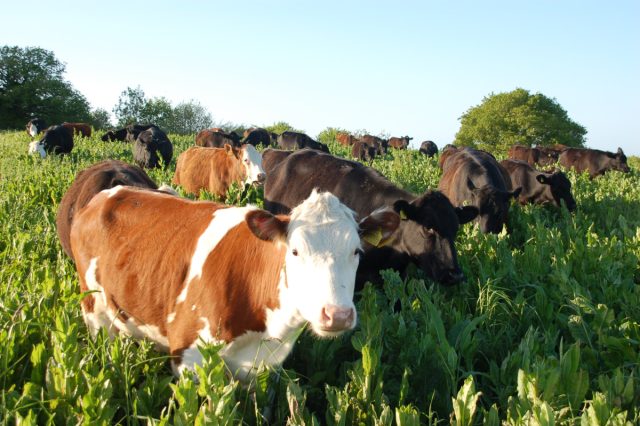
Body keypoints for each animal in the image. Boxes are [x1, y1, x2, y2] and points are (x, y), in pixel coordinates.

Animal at [67, 187, 398, 380]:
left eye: (356, 251)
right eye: (294, 251)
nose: (337, 315)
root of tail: (105, 194)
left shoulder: (262, 367)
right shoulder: (189, 358)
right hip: (93, 310)